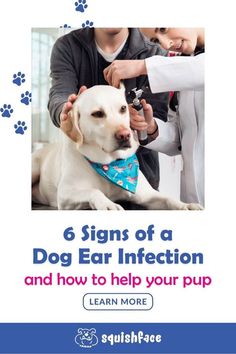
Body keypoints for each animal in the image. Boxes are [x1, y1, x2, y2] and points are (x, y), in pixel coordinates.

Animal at [32, 85, 203, 210]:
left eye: (123, 108)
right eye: (98, 113)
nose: (125, 135)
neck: (110, 164)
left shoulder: (146, 194)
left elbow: (168, 198)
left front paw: (186, 205)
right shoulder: (65, 194)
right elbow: (94, 191)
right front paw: (108, 204)